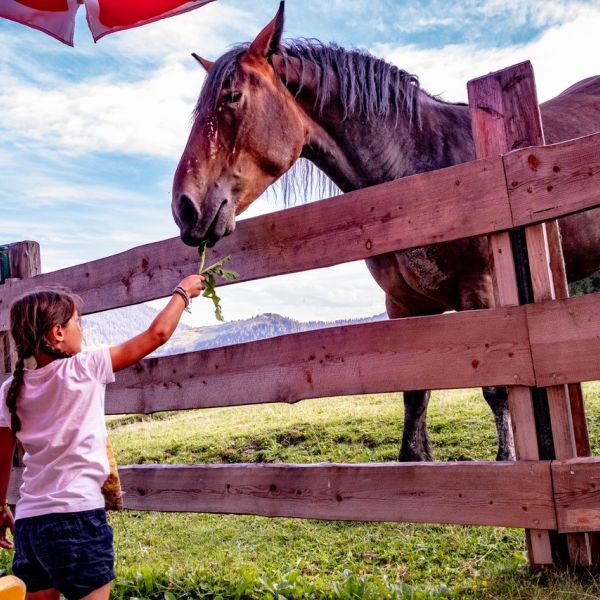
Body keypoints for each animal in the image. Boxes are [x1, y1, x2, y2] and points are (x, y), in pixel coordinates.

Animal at [171, 2, 600, 462]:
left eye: (232, 97)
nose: (184, 208)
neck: (417, 174)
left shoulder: (484, 293)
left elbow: (498, 392)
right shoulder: (403, 305)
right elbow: (414, 401)